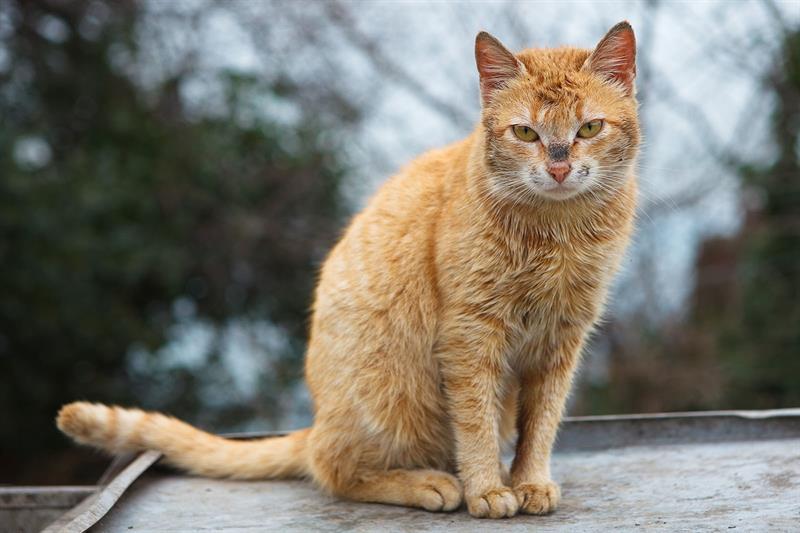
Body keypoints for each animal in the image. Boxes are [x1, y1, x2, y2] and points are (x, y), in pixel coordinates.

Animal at [57, 22, 636, 516]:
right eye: (525, 133)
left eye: (589, 127)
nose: (559, 166)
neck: (556, 233)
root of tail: (316, 421)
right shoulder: (471, 336)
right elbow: (477, 421)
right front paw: (488, 488)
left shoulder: (562, 341)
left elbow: (541, 423)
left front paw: (529, 480)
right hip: (392, 397)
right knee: (333, 468)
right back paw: (429, 483)